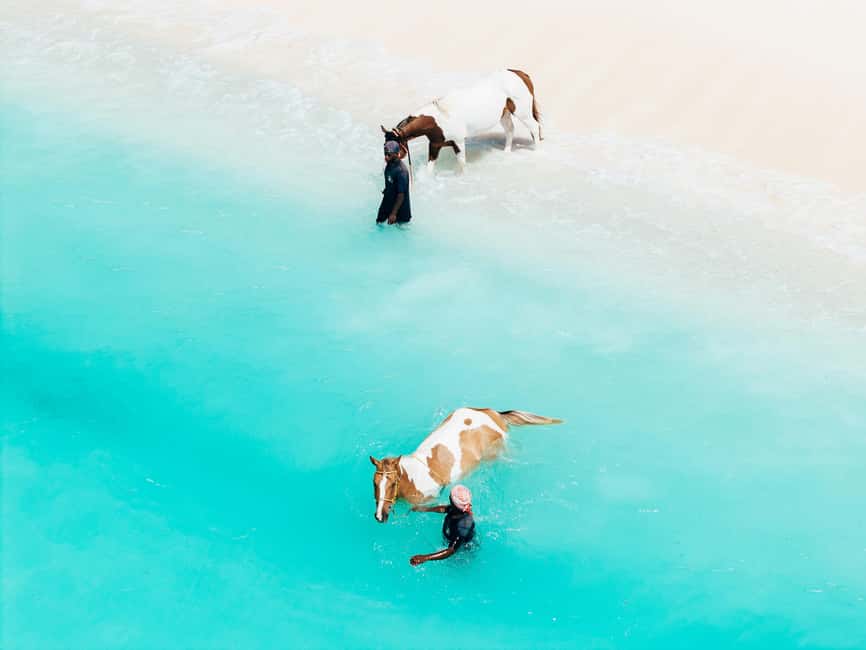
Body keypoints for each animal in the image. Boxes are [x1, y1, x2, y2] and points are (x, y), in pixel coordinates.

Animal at [381, 69, 542, 174]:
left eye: (394, 146)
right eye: (384, 146)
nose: (388, 164)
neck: (440, 118)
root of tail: (519, 73)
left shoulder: (458, 142)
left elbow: (462, 164)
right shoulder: (435, 145)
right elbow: (430, 168)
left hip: (522, 112)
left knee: (535, 128)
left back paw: (537, 152)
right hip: (504, 114)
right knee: (510, 130)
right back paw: (506, 152)